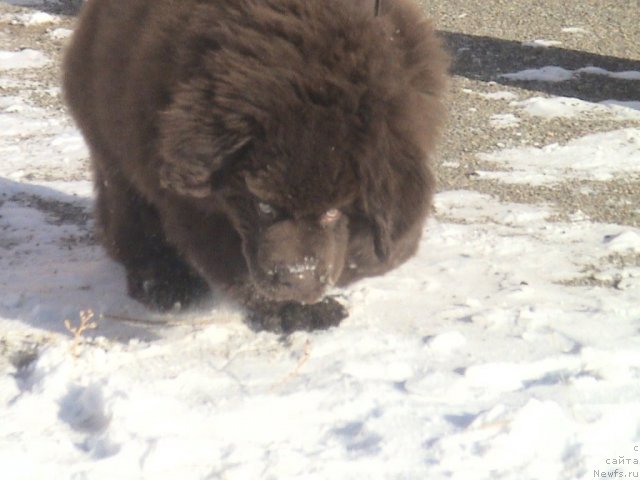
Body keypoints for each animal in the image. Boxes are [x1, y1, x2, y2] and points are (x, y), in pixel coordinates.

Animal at [62, 0, 448, 332]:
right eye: (263, 205)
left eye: (333, 212)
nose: (296, 277)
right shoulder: (195, 200)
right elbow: (235, 263)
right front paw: (295, 312)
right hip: (111, 137)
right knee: (131, 216)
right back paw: (164, 282)